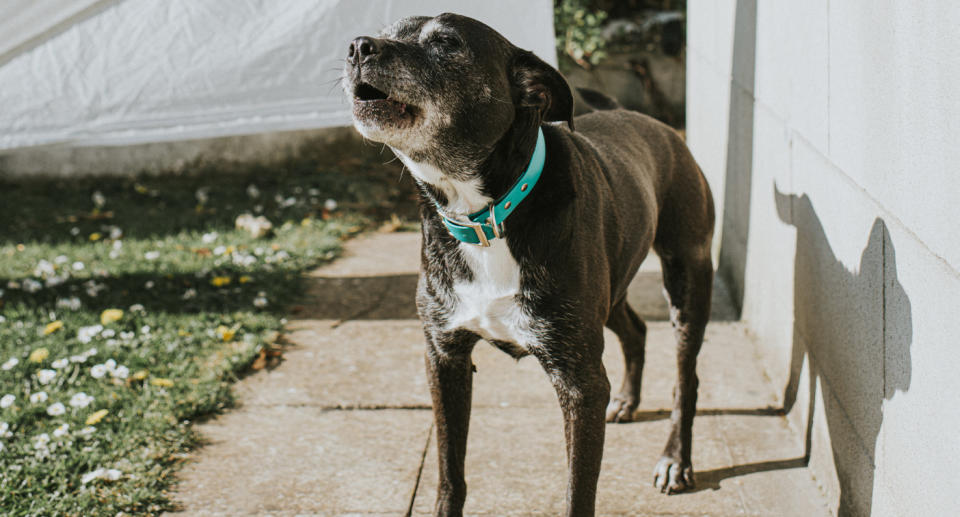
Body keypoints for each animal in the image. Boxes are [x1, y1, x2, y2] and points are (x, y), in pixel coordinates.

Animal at [344, 13, 712, 516]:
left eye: (448, 43)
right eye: (388, 30)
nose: (358, 47)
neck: (487, 215)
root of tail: (649, 120)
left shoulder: (579, 382)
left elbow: (578, 492)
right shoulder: (444, 357)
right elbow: (450, 473)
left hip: (687, 277)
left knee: (685, 377)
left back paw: (676, 459)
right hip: (611, 289)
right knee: (635, 329)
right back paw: (627, 401)